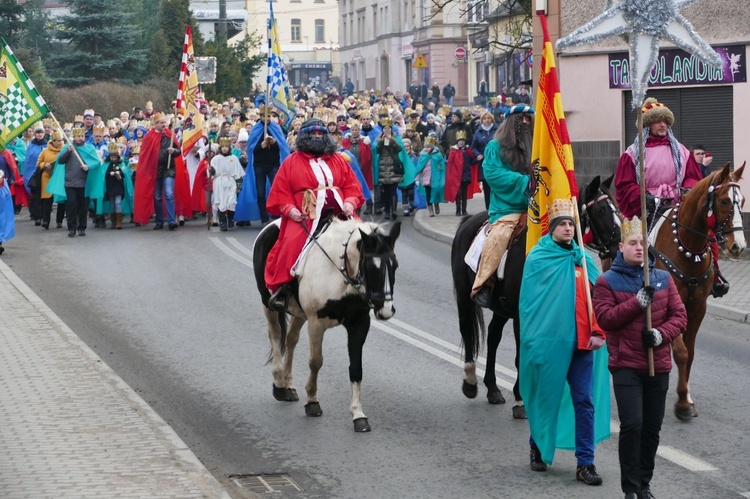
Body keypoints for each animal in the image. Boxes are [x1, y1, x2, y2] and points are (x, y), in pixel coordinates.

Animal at [253, 219, 402, 434]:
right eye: (371, 267)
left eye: (395, 265)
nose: (386, 310)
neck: (339, 273)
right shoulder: (316, 322)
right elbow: (316, 362)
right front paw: (312, 402)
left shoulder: (359, 323)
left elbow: (356, 367)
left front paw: (358, 414)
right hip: (268, 304)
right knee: (275, 335)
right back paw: (280, 385)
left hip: (299, 313)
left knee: (291, 340)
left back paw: (288, 386)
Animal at [652, 162, 748, 420]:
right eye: (724, 201)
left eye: (743, 200)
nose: (738, 246)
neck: (687, 247)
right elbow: (681, 352)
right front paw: (682, 403)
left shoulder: (697, 308)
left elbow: (691, 353)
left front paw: (685, 396)